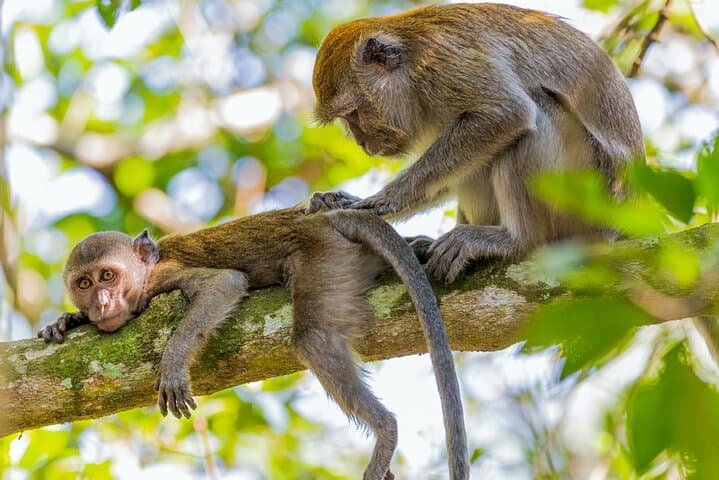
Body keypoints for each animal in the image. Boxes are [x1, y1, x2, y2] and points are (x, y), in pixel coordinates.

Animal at [38, 200, 469, 480]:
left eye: (108, 276)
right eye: (84, 284)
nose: (101, 302)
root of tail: (328, 221)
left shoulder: (164, 279)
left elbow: (224, 284)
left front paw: (173, 362)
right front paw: (66, 321)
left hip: (324, 255)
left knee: (313, 337)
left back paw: (385, 429)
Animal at [309, 3, 644, 282]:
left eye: (354, 112)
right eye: (346, 119)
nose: (361, 142)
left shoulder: (442, 62)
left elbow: (507, 112)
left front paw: (384, 200)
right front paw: (345, 200)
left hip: (586, 197)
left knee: (536, 111)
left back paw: (519, 240)